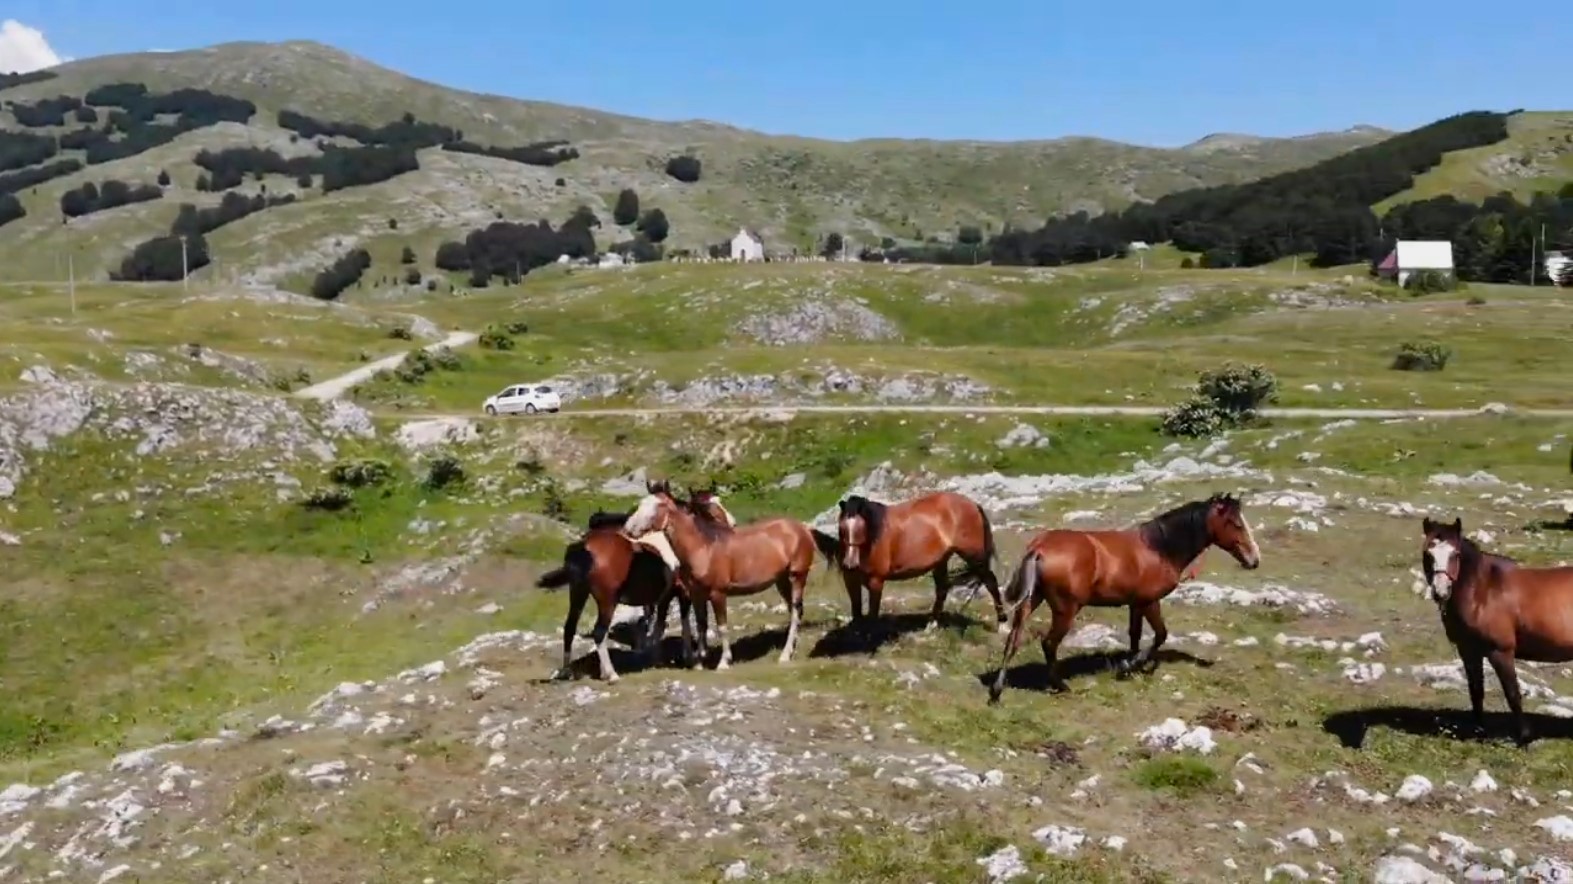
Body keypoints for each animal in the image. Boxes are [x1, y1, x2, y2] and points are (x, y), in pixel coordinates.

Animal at [534, 481, 735, 683]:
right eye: (707, 507)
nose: (731, 524)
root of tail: (584, 547)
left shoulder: (664, 597)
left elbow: (658, 627)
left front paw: (655, 656)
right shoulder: (683, 593)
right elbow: (683, 624)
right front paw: (688, 657)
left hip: (578, 593)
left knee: (570, 628)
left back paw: (566, 671)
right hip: (607, 601)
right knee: (599, 632)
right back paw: (611, 674)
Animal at [622, 480, 819, 670]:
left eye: (659, 505)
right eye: (641, 503)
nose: (628, 528)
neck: (703, 548)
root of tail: (802, 528)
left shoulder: (718, 594)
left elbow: (722, 626)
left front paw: (724, 662)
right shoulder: (696, 594)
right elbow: (701, 624)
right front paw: (699, 661)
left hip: (797, 576)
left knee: (796, 610)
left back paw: (785, 655)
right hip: (782, 581)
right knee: (794, 611)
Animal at [811, 491, 1005, 634]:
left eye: (863, 528)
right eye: (842, 529)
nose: (851, 564)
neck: (872, 541)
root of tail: (973, 504)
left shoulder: (876, 581)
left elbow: (872, 612)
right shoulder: (851, 580)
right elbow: (856, 610)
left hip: (974, 557)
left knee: (991, 582)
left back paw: (1002, 624)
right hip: (941, 561)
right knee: (942, 590)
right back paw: (931, 626)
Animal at [987, 493, 1262, 705]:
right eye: (1235, 523)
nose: (1254, 559)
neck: (1159, 548)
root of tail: (1039, 549)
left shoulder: (1136, 604)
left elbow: (1135, 635)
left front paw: (1130, 664)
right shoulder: (1150, 602)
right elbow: (1160, 635)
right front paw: (1130, 665)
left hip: (1031, 601)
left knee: (1013, 640)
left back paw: (997, 691)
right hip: (1066, 610)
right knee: (1048, 644)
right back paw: (1060, 685)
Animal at [1420, 516, 1573, 745]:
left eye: (1455, 554)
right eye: (1428, 554)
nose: (1440, 592)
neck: (1483, 591)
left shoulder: (1500, 652)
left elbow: (1513, 694)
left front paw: (1524, 738)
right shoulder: (1469, 651)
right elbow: (1476, 692)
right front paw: (1478, 732)